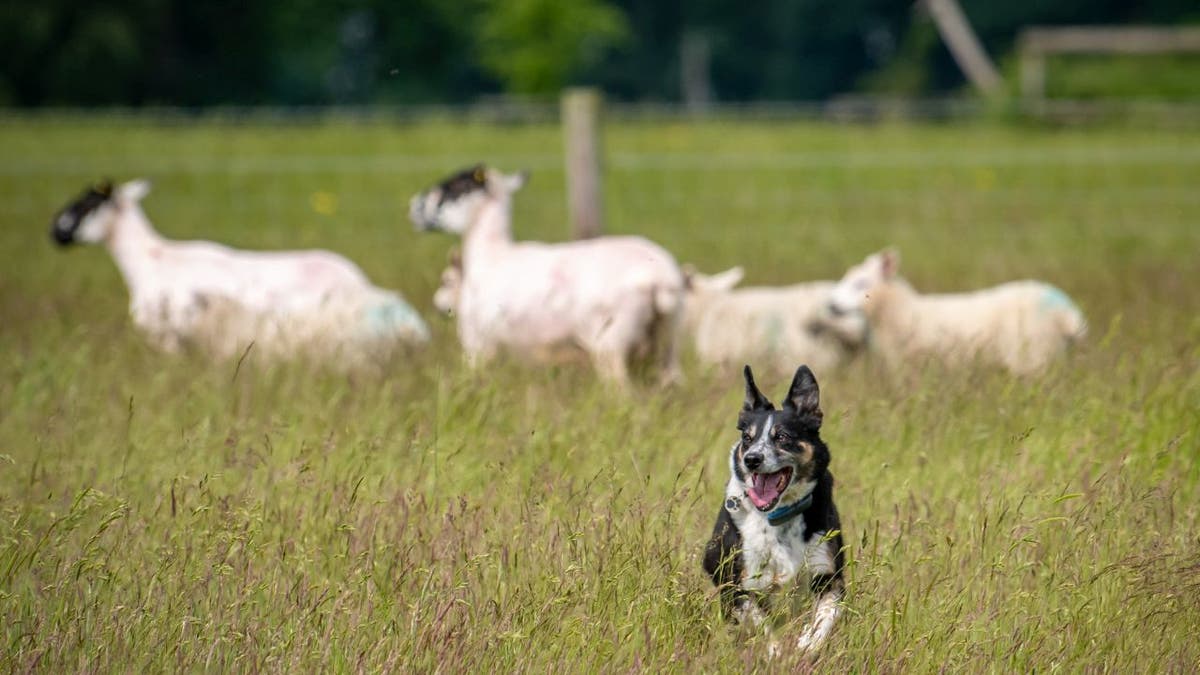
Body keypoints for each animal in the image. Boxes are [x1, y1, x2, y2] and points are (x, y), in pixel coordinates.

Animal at [410, 163, 686, 384]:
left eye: (452, 187)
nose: (413, 207)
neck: (490, 254)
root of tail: (661, 275)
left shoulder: (478, 345)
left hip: (610, 345)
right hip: (666, 343)